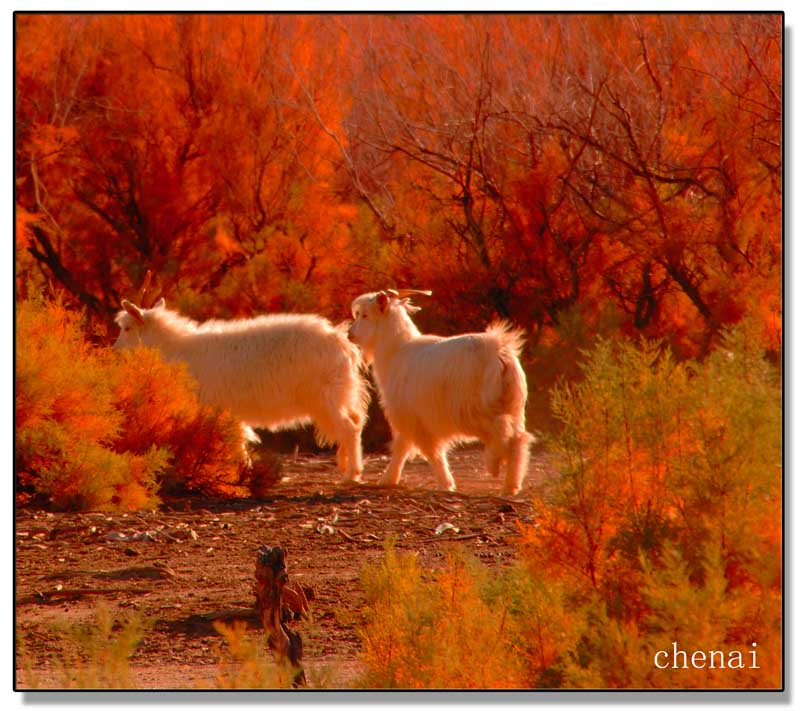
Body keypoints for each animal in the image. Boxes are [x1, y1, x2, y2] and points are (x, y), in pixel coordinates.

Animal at [113, 294, 368, 484]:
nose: (114, 352)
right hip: (341, 395)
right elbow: (239, 445)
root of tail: (341, 341)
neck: (176, 349)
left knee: (350, 429)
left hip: (325, 398)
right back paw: (345, 466)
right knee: (355, 423)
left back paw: (351, 475)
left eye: (126, 328)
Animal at [348, 290, 532, 496]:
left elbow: (429, 451)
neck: (397, 351)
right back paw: (511, 485)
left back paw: (494, 465)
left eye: (365, 315)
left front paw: (446, 484)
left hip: (480, 410)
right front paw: (389, 480)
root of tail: (500, 353)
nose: (350, 335)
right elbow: (403, 447)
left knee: (503, 435)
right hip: (512, 406)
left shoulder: (414, 418)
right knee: (519, 439)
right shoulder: (411, 418)